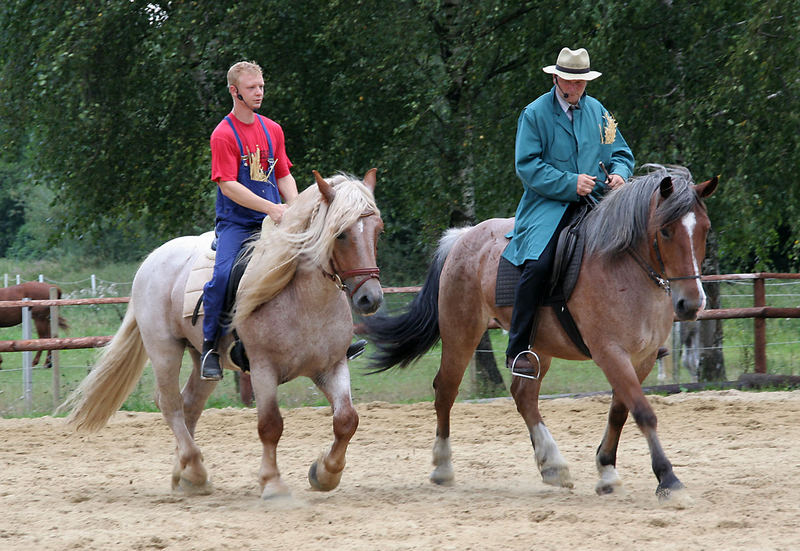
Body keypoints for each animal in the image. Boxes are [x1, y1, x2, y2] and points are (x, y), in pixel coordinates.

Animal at [61, 171, 384, 500]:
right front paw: (273, 483)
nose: (370, 298)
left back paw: (186, 475)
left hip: (203, 360)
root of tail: (153, 259)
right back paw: (195, 469)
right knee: (170, 404)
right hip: (164, 350)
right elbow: (270, 425)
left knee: (190, 403)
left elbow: (346, 420)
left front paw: (325, 473)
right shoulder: (263, 369)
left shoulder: (331, 366)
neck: (305, 301)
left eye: (377, 230)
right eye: (341, 234)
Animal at [366, 165, 716, 504]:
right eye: (666, 230)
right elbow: (643, 412)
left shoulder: (641, 358)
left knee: (523, 395)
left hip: (537, 347)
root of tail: (464, 236)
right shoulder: (610, 353)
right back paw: (443, 466)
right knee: (446, 391)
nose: (690, 303)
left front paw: (607, 472)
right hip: (461, 333)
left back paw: (552, 465)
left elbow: (620, 411)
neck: (625, 270)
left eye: (705, 229)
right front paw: (668, 480)